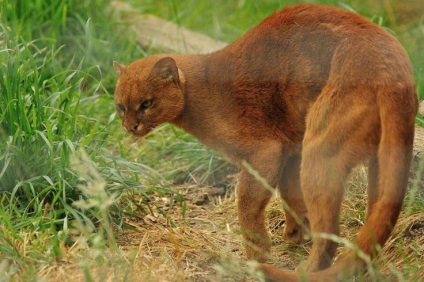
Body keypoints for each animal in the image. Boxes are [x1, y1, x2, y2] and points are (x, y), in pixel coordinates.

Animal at [112, 3, 418, 280]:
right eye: (121, 106)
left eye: (146, 103)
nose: (130, 127)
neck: (202, 90)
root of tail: (393, 66)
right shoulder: (291, 151)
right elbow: (290, 194)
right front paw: (294, 234)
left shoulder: (265, 151)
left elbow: (248, 204)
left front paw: (257, 253)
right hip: (378, 161)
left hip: (320, 146)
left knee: (331, 232)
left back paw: (301, 270)